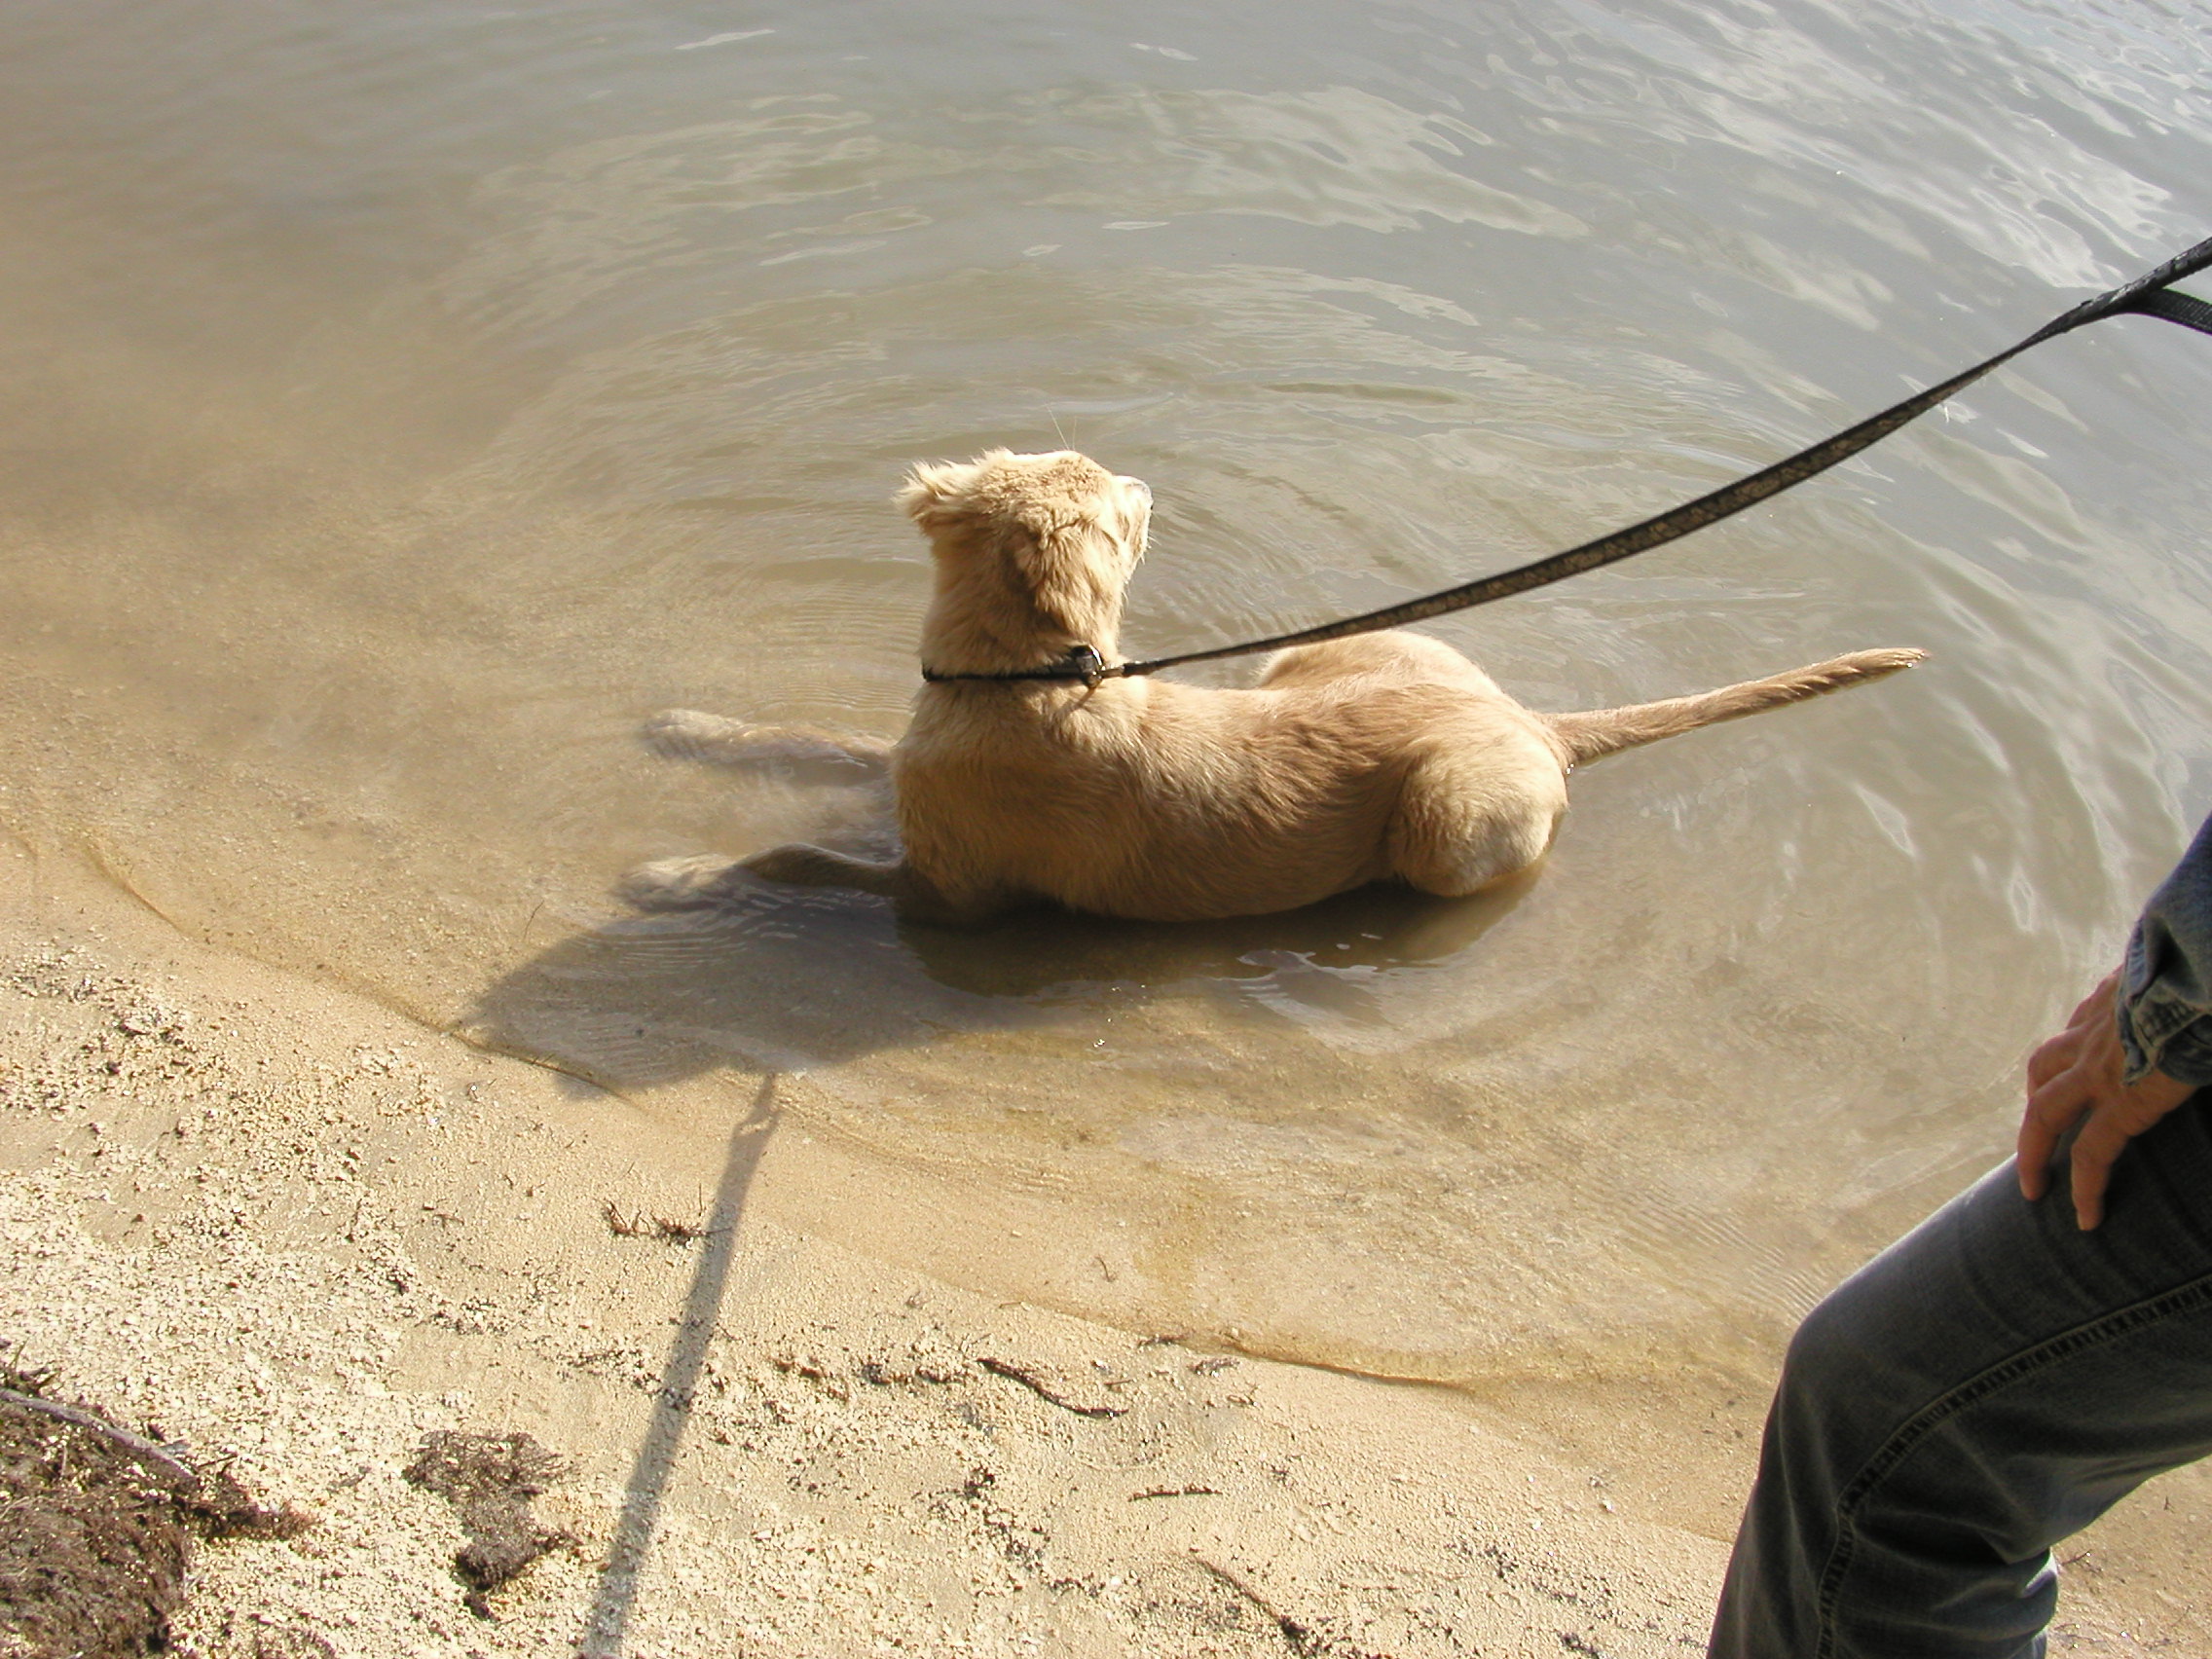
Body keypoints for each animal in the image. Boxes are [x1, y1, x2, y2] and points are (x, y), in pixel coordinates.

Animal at [627, 449, 1922, 926]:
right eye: (1113, 501)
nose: (1152, 479)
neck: (1026, 684)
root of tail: (1529, 724)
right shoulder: (904, 776)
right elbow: (816, 737)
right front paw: (687, 726)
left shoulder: (949, 895)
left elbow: (790, 855)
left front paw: (673, 873)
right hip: (1322, 658)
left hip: (1449, 819)